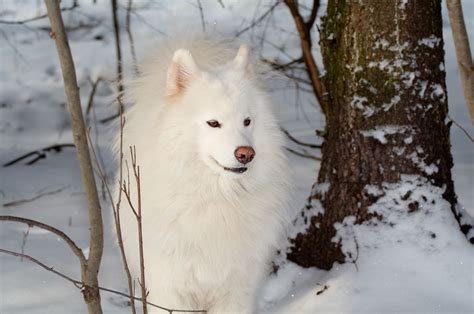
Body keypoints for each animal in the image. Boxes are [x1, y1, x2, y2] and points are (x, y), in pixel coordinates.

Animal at [115, 38, 292, 314]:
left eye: (247, 121)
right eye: (213, 123)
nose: (246, 154)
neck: (217, 197)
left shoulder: (236, 288)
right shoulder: (171, 288)